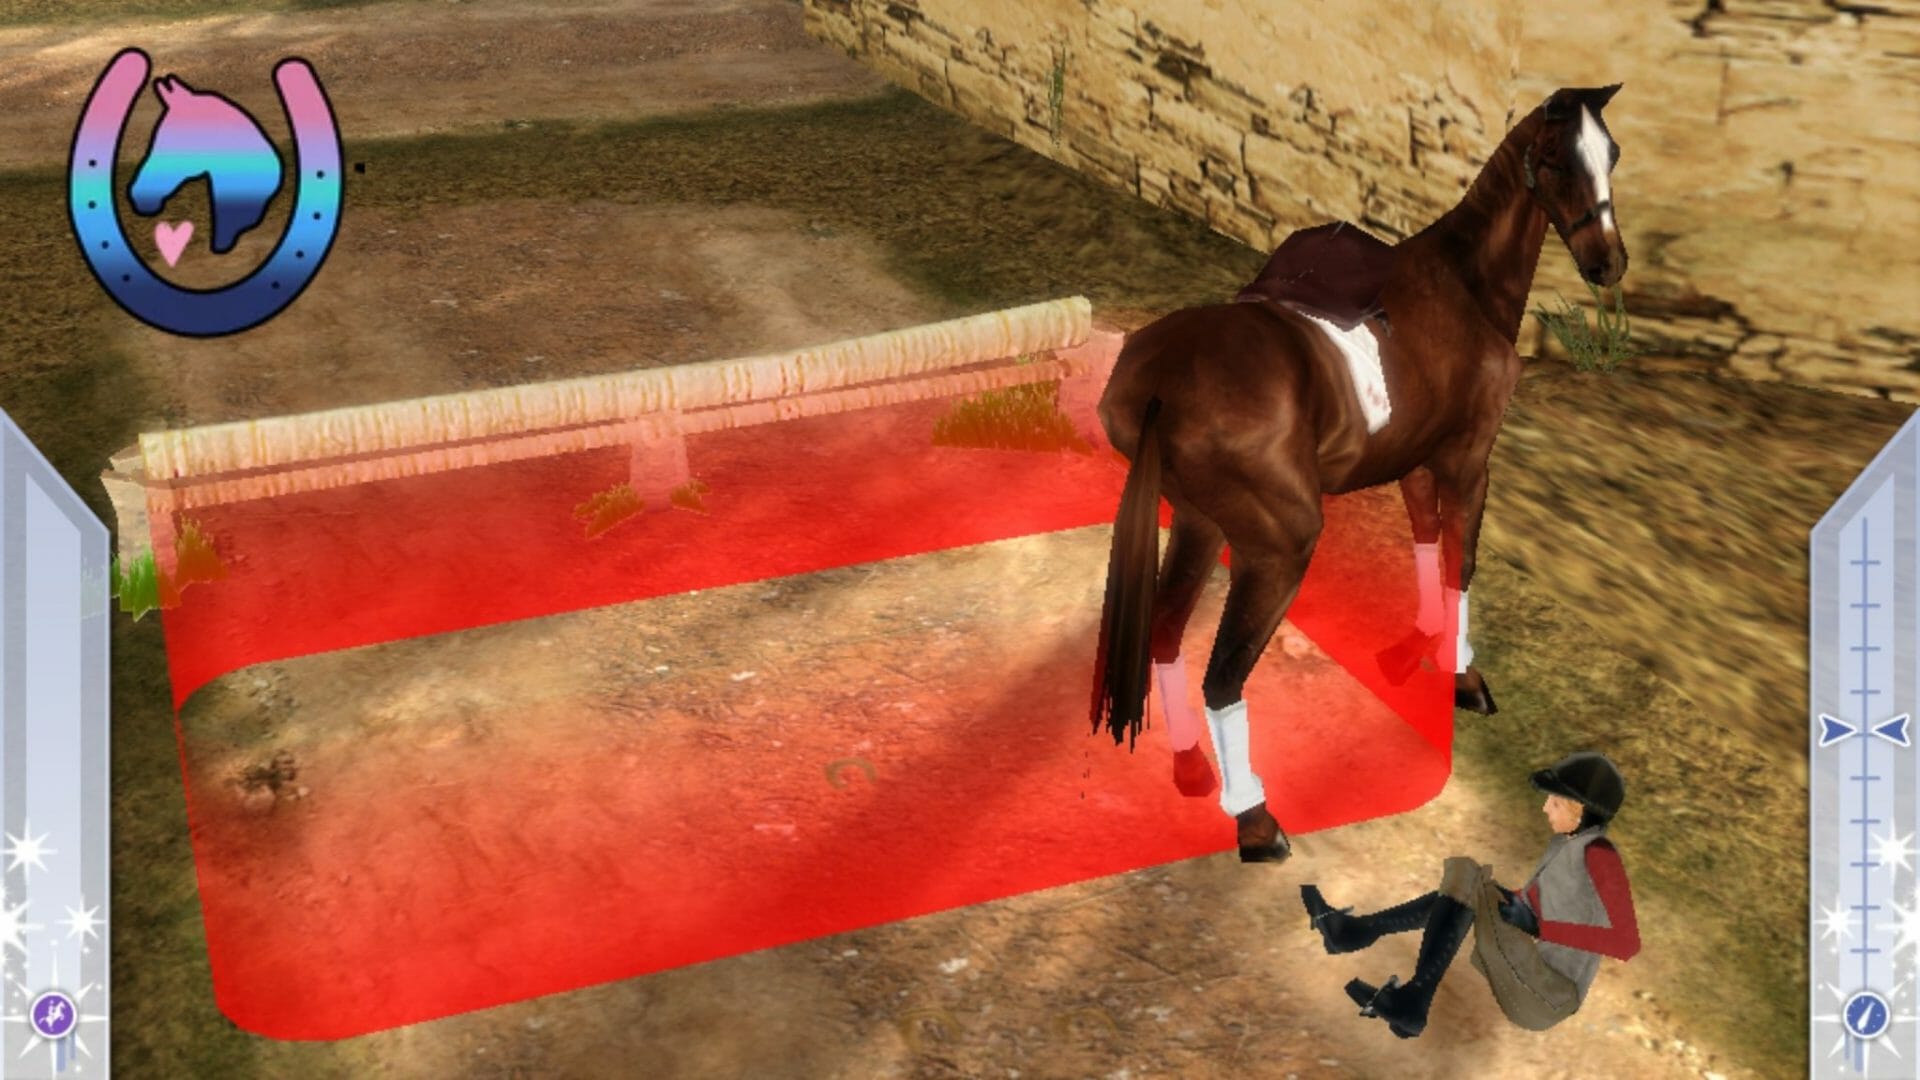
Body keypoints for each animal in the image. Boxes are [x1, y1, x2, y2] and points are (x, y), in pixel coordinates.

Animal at [1089, 85, 1629, 863]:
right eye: (1557, 158)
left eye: (1611, 152)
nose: (1608, 264)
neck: (1466, 284)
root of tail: (1161, 381)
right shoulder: (1469, 461)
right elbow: (1461, 562)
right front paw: (1462, 675)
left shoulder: (1416, 466)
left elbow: (1427, 546)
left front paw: (1415, 648)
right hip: (1276, 548)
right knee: (1223, 676)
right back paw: (1255, 820)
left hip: (1196, 524)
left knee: (1163, 633)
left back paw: (1190, 767)